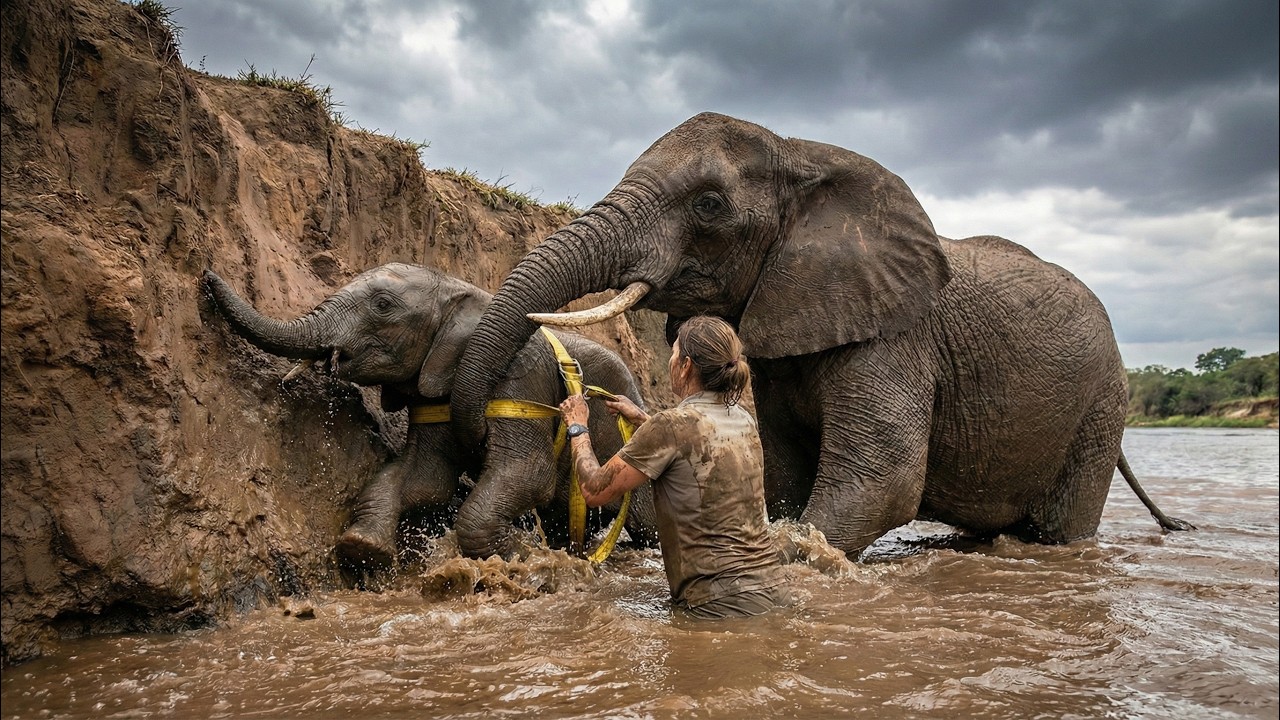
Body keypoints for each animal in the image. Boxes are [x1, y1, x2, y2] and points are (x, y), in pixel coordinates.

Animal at [201, 263, 657, 564]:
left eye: (383, 305)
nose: (205, 275)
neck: (462, 291)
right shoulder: (430, 393)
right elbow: (425, 476)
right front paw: (362, 549)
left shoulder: (520, 376)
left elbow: (526, 474)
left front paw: (520, 555)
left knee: (645, 523)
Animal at [450, 112, 1192, 559]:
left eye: (709, 205)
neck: (802, 156)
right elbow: (779, 469)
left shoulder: (896, 337)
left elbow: (882, 479)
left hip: (1101, 403)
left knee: (1061, 527)